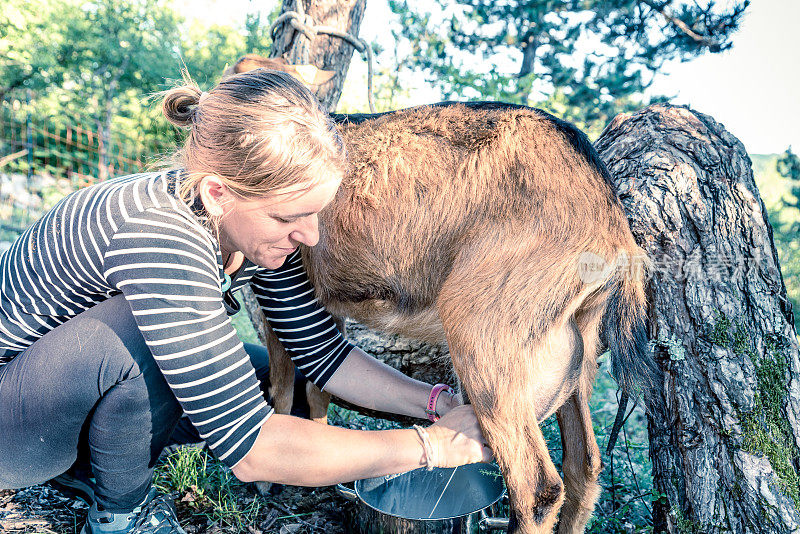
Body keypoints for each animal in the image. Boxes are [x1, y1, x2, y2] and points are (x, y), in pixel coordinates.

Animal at [255, 99, 656, 532]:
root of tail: (614, 227)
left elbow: (283, 386)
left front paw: (267, 482)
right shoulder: (324, 302)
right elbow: (319, 382)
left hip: (482, 332)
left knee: (537, 489)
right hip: (576, 349)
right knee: (586, 466)